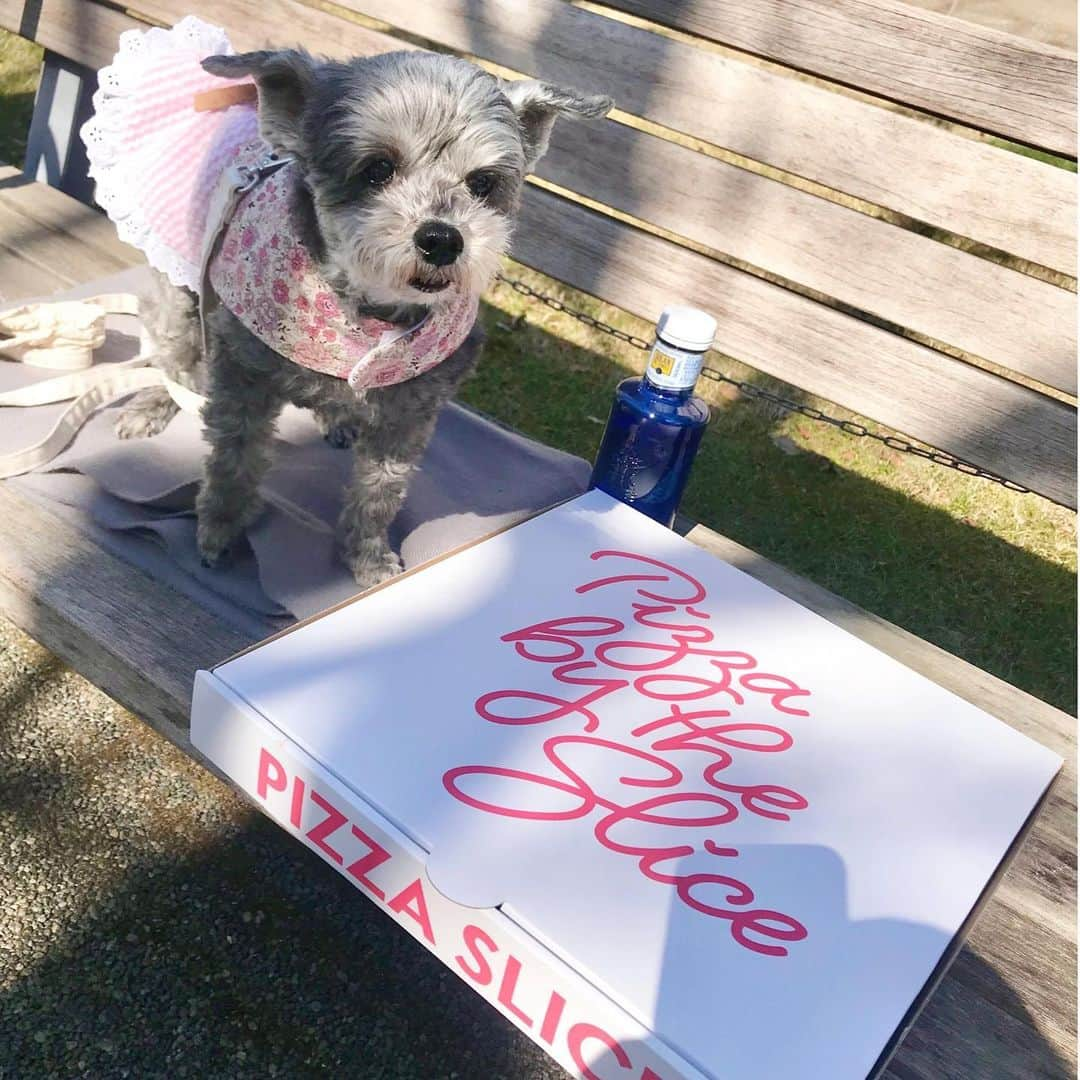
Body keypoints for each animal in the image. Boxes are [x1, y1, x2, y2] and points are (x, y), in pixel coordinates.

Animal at [115, 46, 613, 587]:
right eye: (377, 169)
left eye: (483, 183)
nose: (442, 239)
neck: (367, 315)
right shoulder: (243, 376)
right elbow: (234, 459)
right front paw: (219, 530)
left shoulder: (410, 411)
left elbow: (379, 491)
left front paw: (369, 557)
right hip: (179, 283)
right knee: (174, 354)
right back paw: (151, 405)